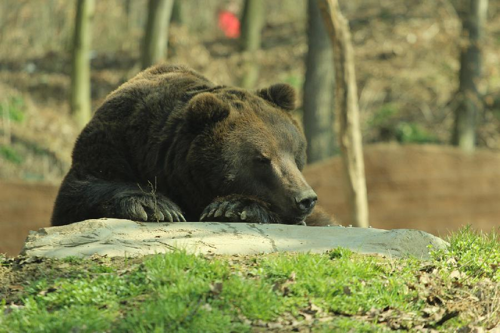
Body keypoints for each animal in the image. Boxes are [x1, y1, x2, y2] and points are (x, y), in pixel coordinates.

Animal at [50, 64, 334, 226]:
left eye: (295, 153)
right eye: (262, 159)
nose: (305, 199)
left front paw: (233, 207)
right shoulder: (111, 143)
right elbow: (78, 193)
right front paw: (157, 206)